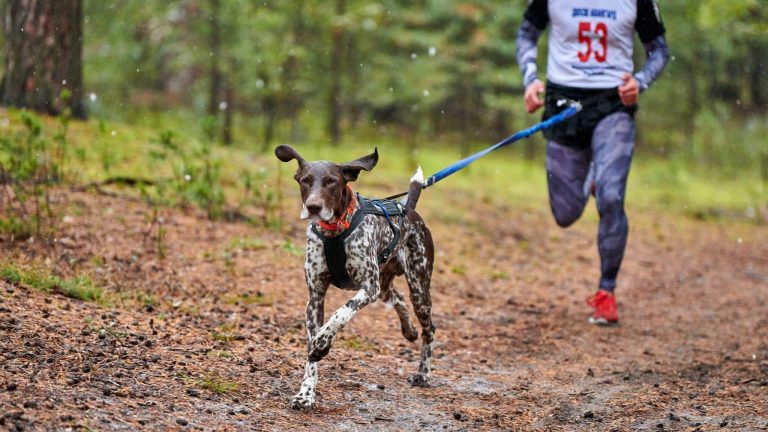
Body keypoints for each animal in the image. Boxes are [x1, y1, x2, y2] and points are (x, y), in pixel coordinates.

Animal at [276, 146, 436, 412]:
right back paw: (409, 329)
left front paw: (323, 341)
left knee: (429, 329)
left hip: (418, 289)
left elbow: (340, 313)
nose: (313, 207)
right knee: (398, 298)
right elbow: (311, 356)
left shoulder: (368, 288)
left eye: (331, 181)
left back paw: (423, 373)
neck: (334, 231)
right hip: (385, 286)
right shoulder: (315, 297)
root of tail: (408, 209)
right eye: (306, 180)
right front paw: (305, 394)